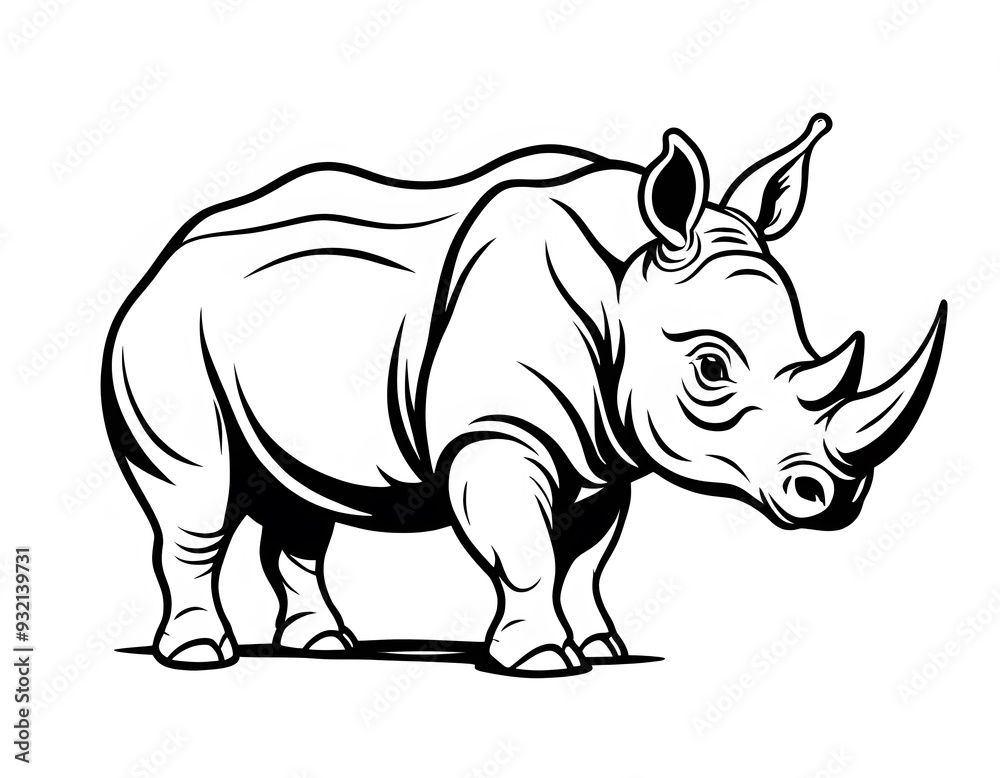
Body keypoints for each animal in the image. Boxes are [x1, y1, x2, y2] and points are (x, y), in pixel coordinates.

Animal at [103, 113, 945, 676]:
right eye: (711, 369)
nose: (834, 496)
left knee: (302, 501)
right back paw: (203, 655)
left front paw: (603, 646)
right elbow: (527, 551)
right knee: (195, 492)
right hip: (163, 330)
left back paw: (323, 644)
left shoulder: (605, 453)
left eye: (808, 353)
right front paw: (542, 660)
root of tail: (167, 250)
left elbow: (585, 558)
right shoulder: (498, 431)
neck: (627, 278)